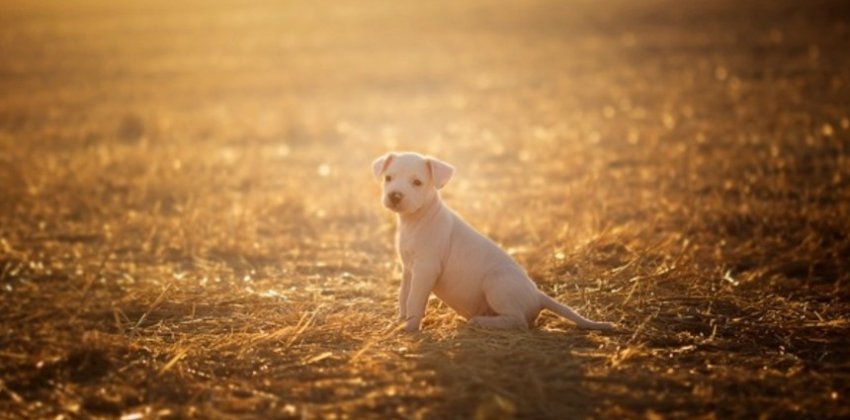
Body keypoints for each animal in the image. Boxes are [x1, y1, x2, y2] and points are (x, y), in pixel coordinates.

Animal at [370, 153, 608, 334]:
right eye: (388, 178)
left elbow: (415, 300)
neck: (415, 220)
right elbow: (404, 296)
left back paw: (481, 322)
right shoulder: (409, 269)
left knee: (518, 321)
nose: (395, 195)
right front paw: (400, 320)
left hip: (497, 283)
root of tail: (537, 294)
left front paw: (409, 327)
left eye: (417, 182)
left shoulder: (425, 269)